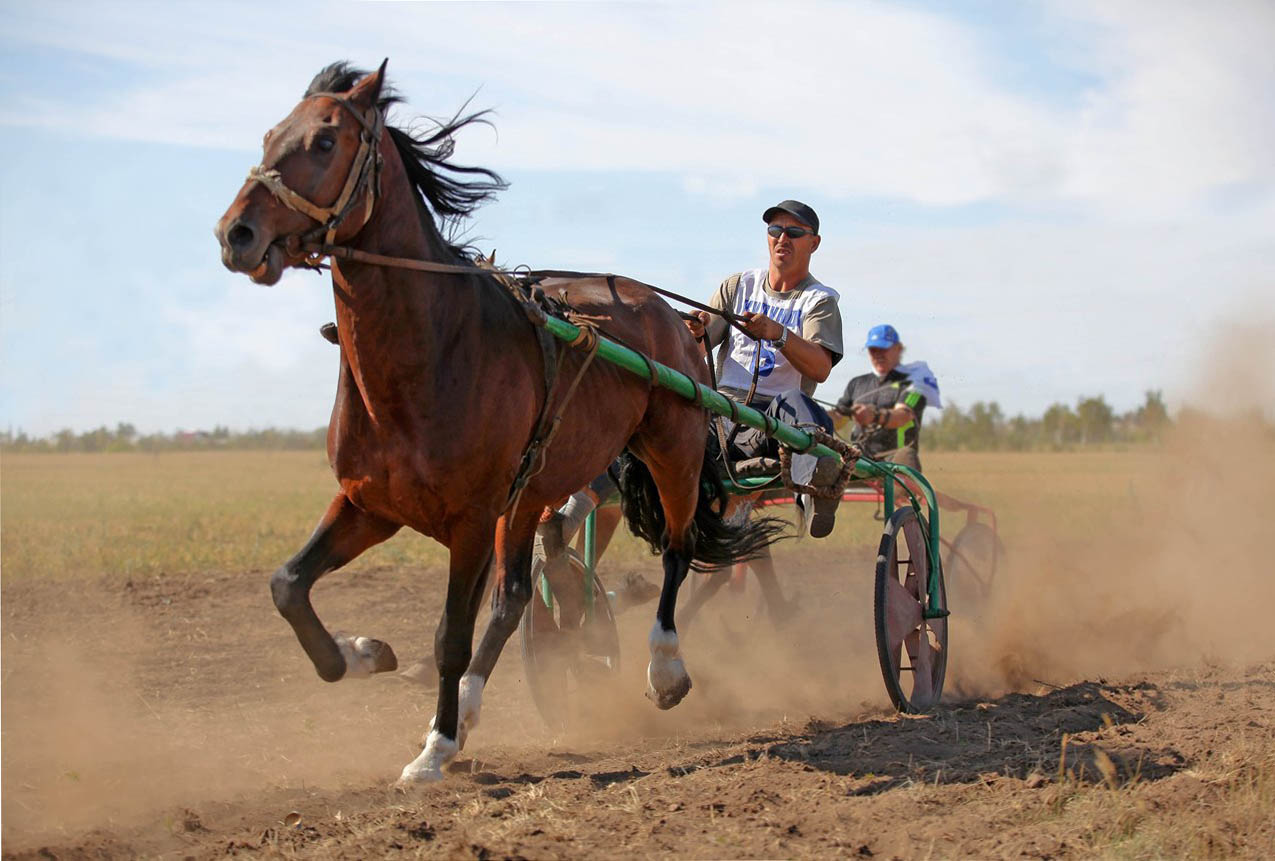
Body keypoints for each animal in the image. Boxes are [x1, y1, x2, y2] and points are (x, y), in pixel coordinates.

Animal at [211, 60, 775, 785]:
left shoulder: (472, 518)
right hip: (532, 493)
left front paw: (434, 748)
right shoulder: (370, 503)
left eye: (324, 141)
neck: (431, 352)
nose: (236, 233)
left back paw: (665, 667)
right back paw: (476, 700)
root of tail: (674, 316)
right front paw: (364, 653)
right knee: (515, 598)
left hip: (670, 448)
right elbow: (287, 586)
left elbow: (450, 634)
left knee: (676, 549)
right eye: (268, 134)